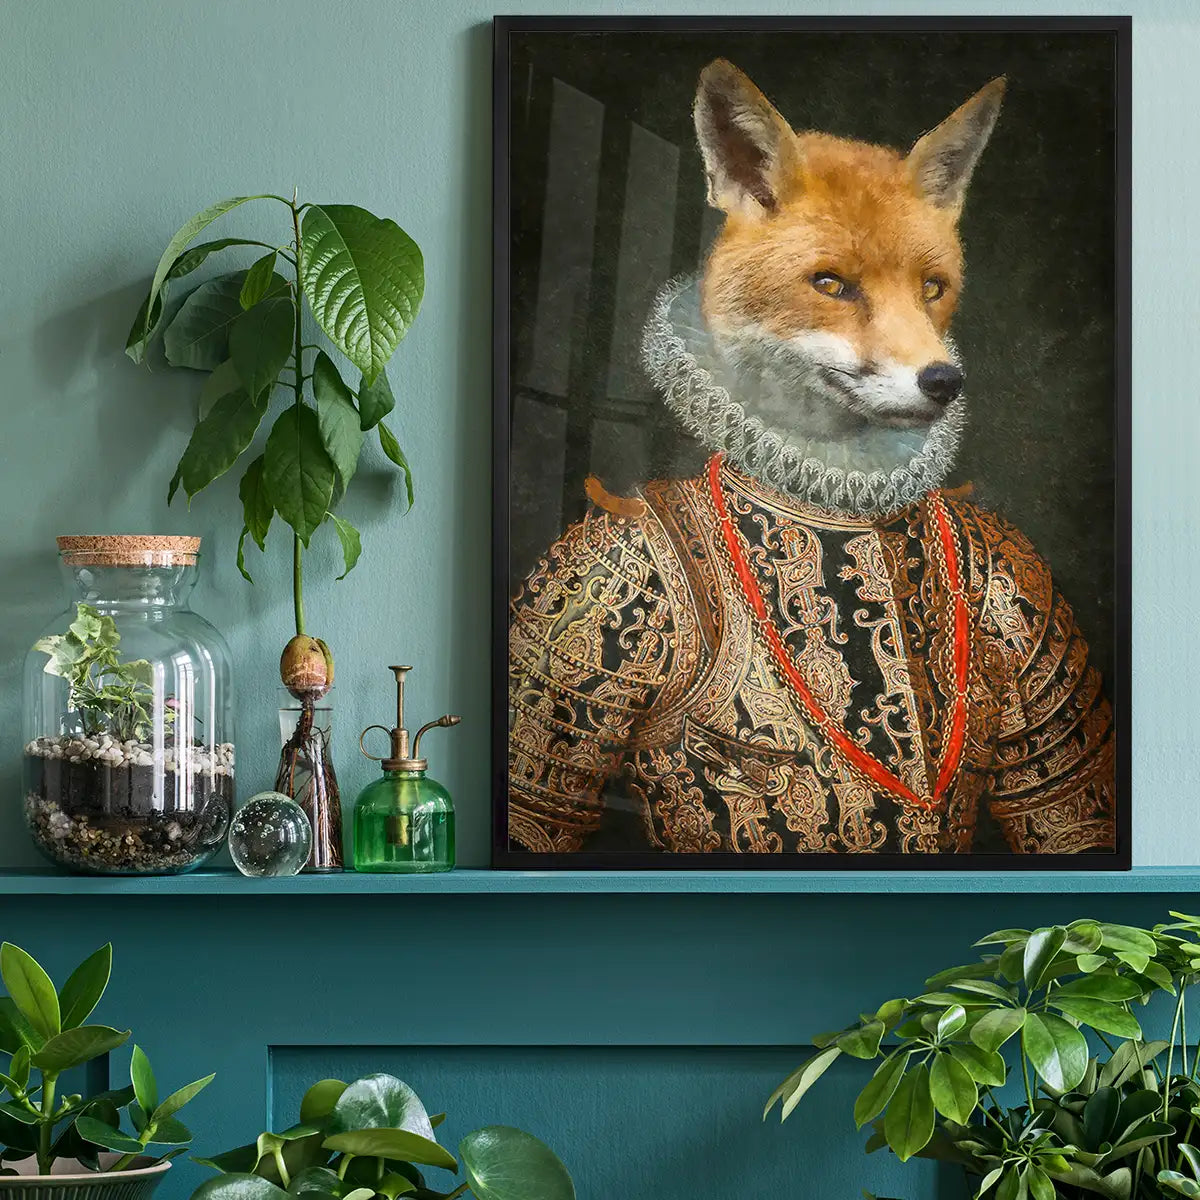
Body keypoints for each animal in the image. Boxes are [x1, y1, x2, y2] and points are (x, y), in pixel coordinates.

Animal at [507, 61, 1115, 857]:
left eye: (933, 288)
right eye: (831, 284)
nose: (944, 381)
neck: (836, 502)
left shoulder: (1050, 726)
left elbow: (1062, 802)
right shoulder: (597, 589)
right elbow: (536, 798)